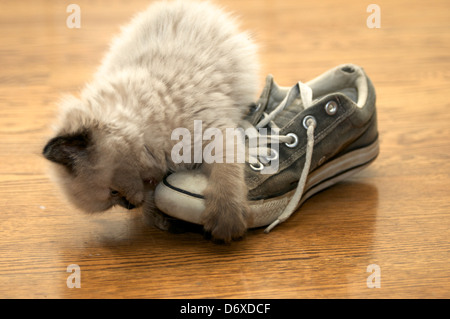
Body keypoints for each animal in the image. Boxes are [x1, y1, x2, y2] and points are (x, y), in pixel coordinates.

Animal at [43, 0, 260, 242]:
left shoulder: (214, 133)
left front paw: (226, 218)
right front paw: (162, 218)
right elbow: (153, 200)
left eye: (113, 191)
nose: (129, 206)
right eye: (113, 198)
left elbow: (226, 173)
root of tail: (182, 3)